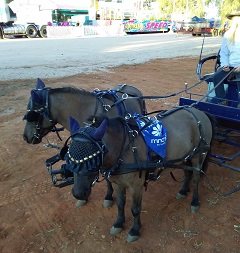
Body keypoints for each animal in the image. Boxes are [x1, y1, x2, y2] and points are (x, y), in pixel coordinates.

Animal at [65, 106, 212, 241]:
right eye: (69, 157)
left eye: (93, 158)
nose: (78, 193)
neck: (125, 148)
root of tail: (199, 112)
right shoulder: (118, 184)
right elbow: (120, 204)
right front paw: (119, 223)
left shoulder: (136, 187)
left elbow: (135, 209)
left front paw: (135, 230)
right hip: (186, 157)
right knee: (188, 174)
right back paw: (183, 191)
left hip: (198, 155)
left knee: (196, 178)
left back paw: (194, 202)